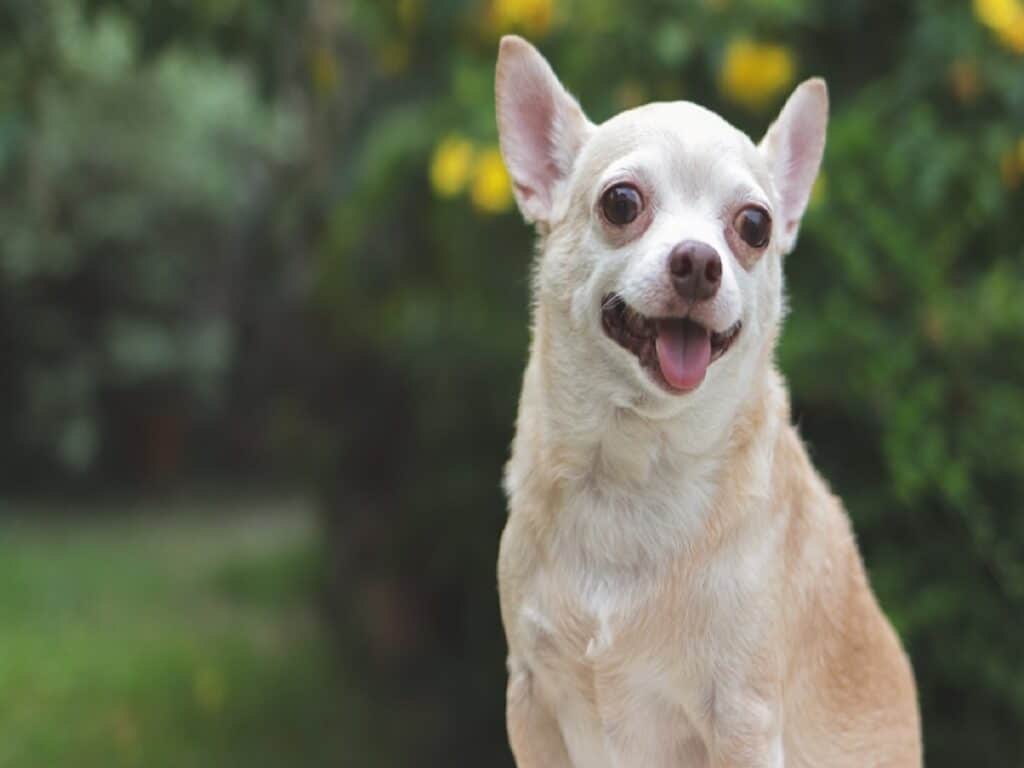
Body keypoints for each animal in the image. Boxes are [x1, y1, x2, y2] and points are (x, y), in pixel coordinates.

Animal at [493, 33, 921, 765]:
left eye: (754, 225)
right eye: (621, 203)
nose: (698, 261)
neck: (634, 471)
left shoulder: (742, 721)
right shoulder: (532, 701)